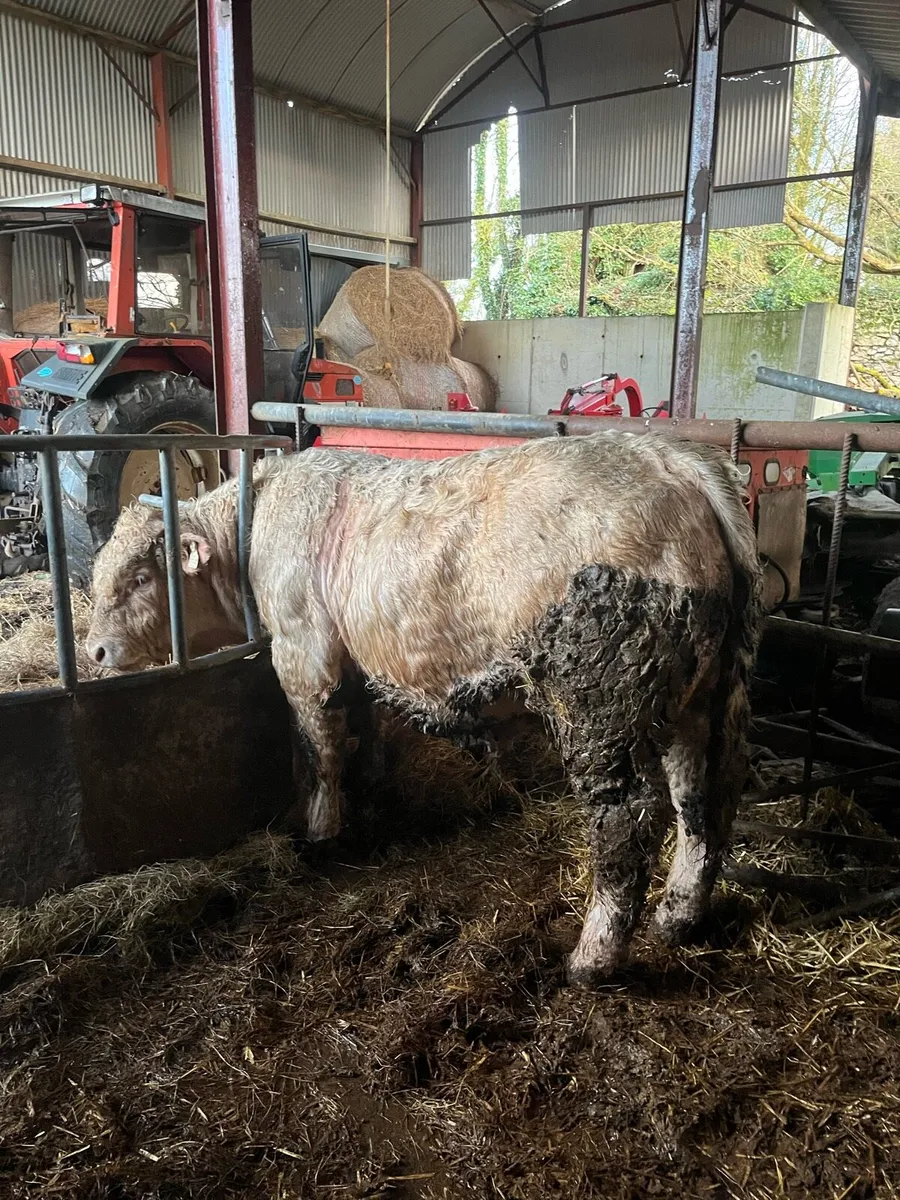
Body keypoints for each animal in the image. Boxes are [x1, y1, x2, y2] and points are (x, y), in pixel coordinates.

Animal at [86, 432, 762, 983]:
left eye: (141, 578)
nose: (93, 650)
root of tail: (674, 460)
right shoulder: (355, 665)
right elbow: (362, 739)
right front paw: (369, 807)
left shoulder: (303, 655)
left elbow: (319, 748)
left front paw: (322, 832)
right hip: (703, 689)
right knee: (706, 789)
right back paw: (680, 915)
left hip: (599, 697)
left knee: (627, 816)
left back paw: (594, 957)